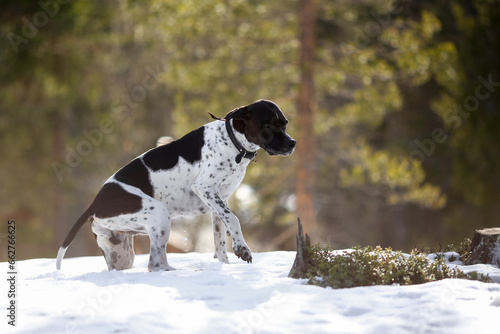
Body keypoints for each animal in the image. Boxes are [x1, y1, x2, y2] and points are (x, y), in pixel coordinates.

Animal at [56, 99, 294, 272]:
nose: (293, 143)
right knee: (155, 264)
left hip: (121, 251)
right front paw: (243, 249)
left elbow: (220, 242)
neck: (231, 142)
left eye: (284, 124)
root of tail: (95, 204)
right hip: (159, 214)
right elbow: (234, 220)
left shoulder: (218, 202)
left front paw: (225, 266)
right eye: (267, 125)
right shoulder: (205, 188)